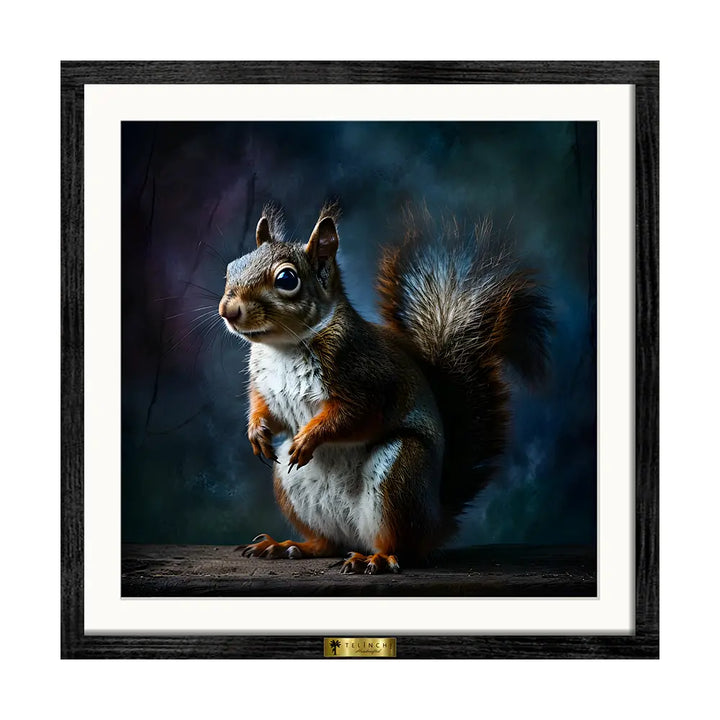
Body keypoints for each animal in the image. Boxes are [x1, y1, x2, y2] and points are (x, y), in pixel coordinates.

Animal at [219, 204, 552, 574]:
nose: (228, 310)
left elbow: (353, 417)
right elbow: (266, 410)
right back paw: (288, 546)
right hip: (292, 486)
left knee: (401, 547)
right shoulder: (267, 389)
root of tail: (436, 522)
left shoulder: (366, 380)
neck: (284, 347)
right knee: (326, 543)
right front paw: (256, 432)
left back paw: (376, 558)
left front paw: (308, 439)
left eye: (287, 280)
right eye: (232, 267)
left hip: (399, 472)